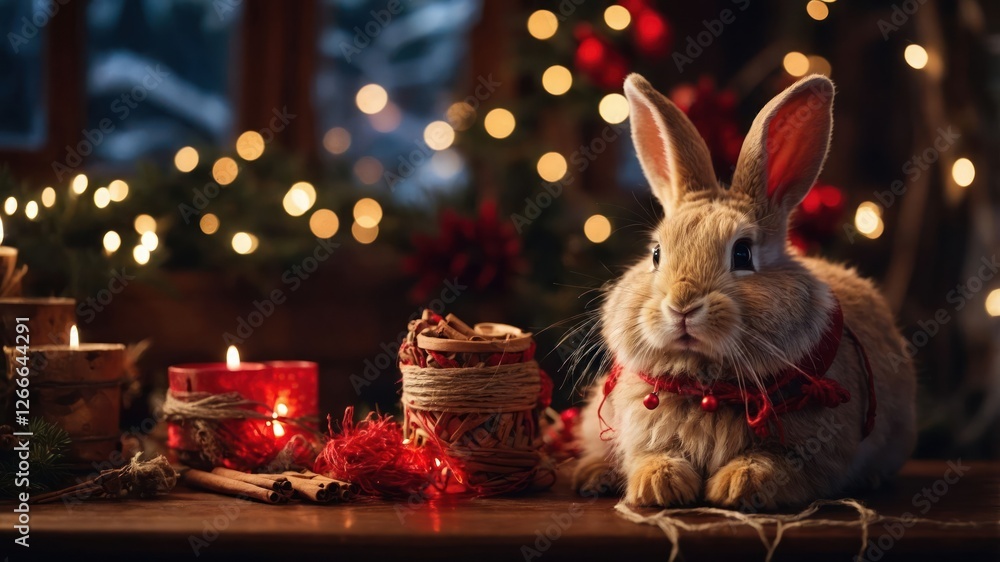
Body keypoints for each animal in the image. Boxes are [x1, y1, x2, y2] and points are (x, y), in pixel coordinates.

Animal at [576, 73, 916, 508]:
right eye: (655, 253)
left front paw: (737, 486)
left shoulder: (807, 450)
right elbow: (651, 455)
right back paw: (592, 476)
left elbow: (775, 465)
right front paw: (659, 484)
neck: (709, 387)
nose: (682, 306)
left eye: (742, 253)